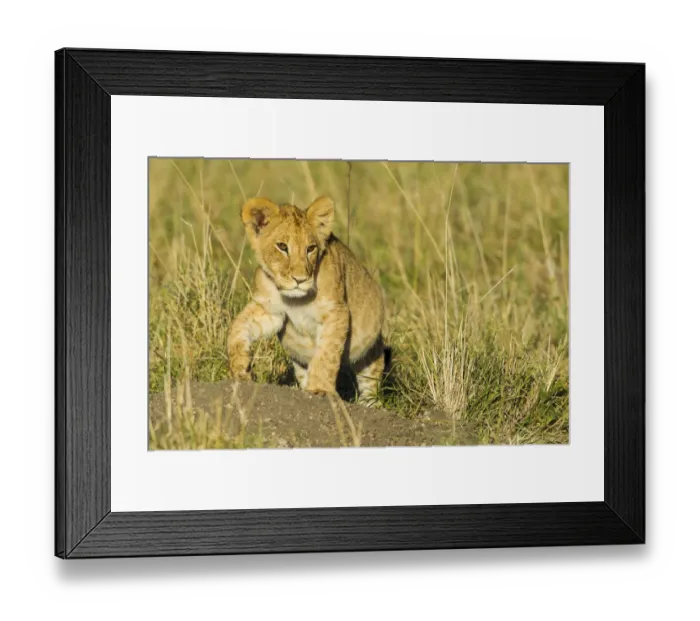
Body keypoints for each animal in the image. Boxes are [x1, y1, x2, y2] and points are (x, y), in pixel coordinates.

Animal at [227, 196, 388, 405]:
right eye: (282, 247)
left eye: (310, 248)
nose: (300, 279)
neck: (295, 300)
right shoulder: (270, 311)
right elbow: (236, 327)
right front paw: (240, 369)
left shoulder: (336, 312)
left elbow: (326, 355)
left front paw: (319, 389)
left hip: (370, 353)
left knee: (371, 378)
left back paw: (369, 403)